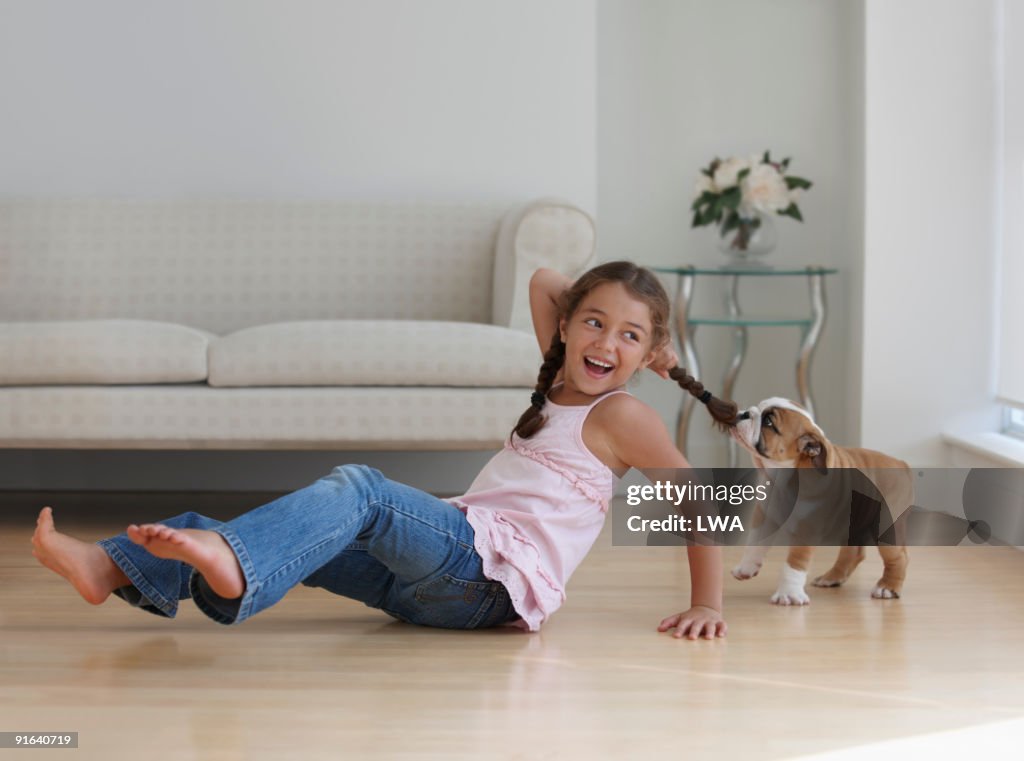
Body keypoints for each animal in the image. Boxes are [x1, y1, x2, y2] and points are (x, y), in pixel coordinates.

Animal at [729, 399, 913, 606]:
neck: (783, 476)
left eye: (768, 422)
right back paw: (831, 577)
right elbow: (754, 544)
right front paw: (746, 567)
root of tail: (901, 463)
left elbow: (794, 564)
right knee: (853, 552)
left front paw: (789, 594)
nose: (744, 413)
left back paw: (887, 587)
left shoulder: (806, 529)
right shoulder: (763, 517)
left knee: (899, 558)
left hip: (886, 525)